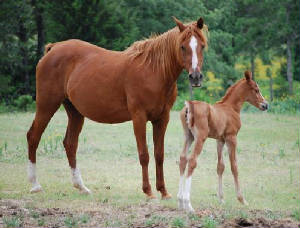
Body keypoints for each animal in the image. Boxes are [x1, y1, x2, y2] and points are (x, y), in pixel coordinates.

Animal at [177, 71, 268, 212]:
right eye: (256, 90)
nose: (265, 105)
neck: (231, 108)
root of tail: (189, 106)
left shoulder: (220, 140)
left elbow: (220, 166)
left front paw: (221, 199)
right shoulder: (232, 138)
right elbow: (234, 166)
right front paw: (242, 199)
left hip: (189, 137)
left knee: (183, 159)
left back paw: (180, 202)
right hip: (200, 138)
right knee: (192, 161)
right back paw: (188, 204)